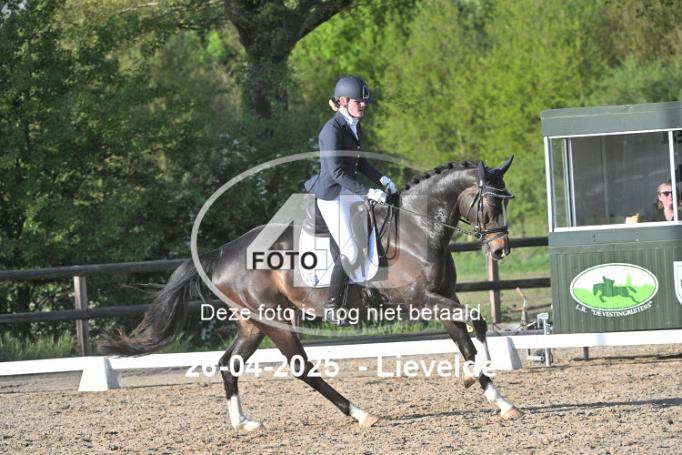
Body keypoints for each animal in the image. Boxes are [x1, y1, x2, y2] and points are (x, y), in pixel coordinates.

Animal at [100, 156, 522, 431]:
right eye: (490, 200)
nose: (501, 250)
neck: (419, 230)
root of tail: (221, 253)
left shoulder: (442, 298)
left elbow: (469, 338)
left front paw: (496, 397)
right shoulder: (421, 301)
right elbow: (477, 322)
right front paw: (478, 381)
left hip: (252, 323)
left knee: (228, 364)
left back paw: (244, 423)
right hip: (275, 321)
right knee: (302, 368)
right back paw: (360, 414)